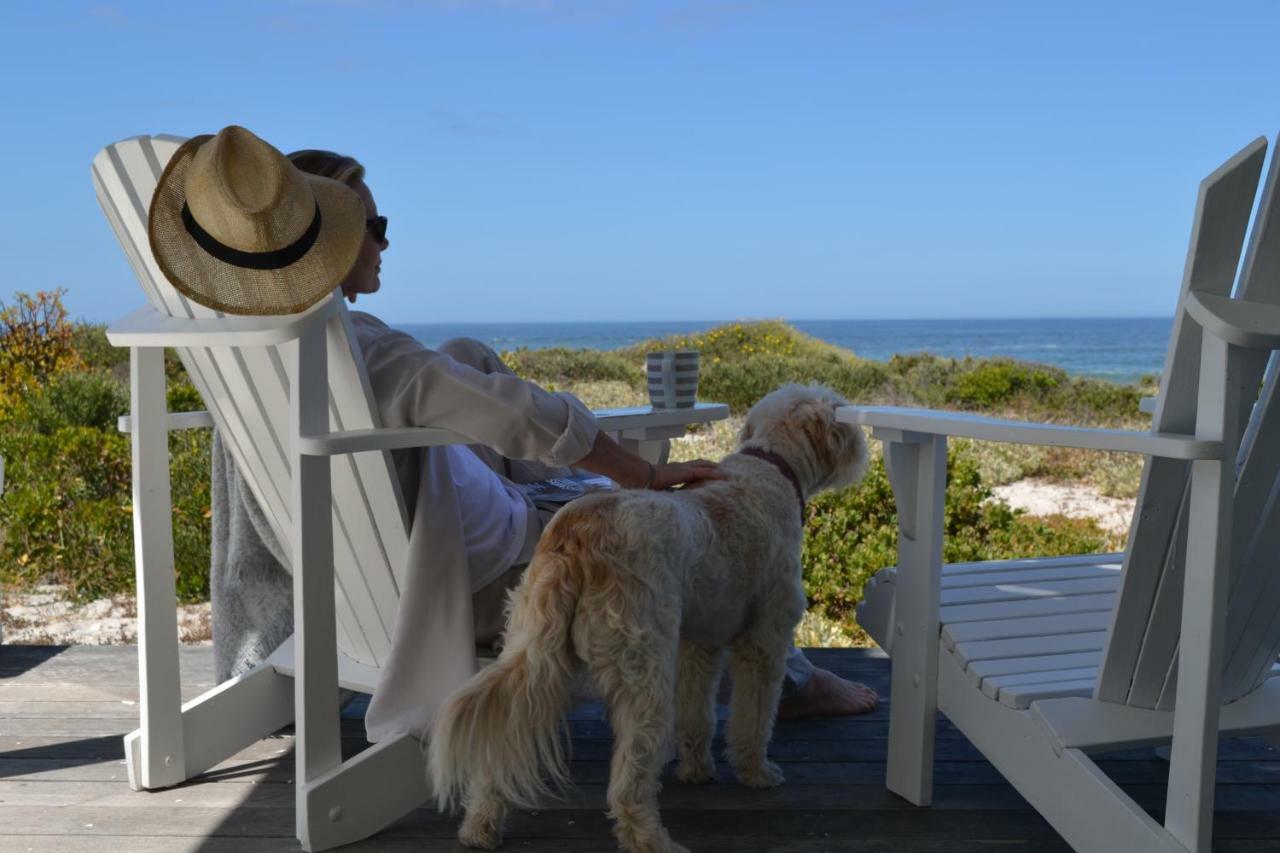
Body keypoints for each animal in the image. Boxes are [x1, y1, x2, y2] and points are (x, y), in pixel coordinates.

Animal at [430, 384, 870, 850]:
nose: (859, 441)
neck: (768, 465)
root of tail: (576, 536)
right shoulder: (764, 643)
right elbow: (753, 718)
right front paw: (756, 772)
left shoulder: (699, 644)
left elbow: (697, 713)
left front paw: (696, 770)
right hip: (642, 672)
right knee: (628, 783)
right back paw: (651, 839)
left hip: (536, 650)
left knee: (499, 745)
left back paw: (480, 825)